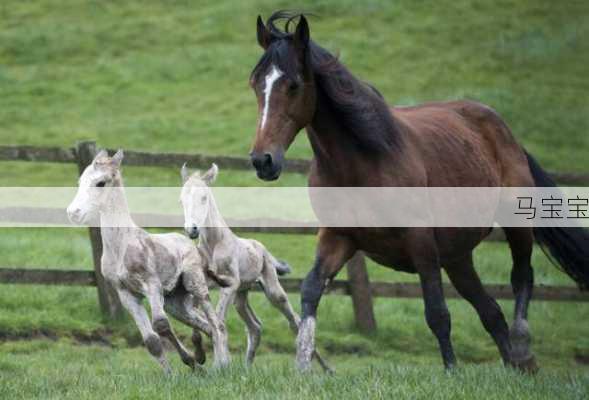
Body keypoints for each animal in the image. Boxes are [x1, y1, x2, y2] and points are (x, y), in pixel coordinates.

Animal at [66, 150, 227, 372]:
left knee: (216, 324)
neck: (121, 246)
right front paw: (179, 370)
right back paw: (206, 361)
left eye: (100, 183)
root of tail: (191, 244)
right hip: (176, 303)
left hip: (195, 284)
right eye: (80, 181)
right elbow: (152, 341)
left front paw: (189, 364)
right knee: (205, 325)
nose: (73, 213)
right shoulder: (126, 293)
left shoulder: (152, 285)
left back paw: (221, 366)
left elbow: (161, 325)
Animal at [180, 163, 330, 372]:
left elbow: (217, 319)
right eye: (181, 200)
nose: (192, 230)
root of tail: (262, 248)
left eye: (204, 197)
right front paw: (200, 357)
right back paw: (247, 367)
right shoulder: (202, 285)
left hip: (272, 291)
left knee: (295, 321)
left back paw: (325, 368)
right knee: (255, 327)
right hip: (241, 297)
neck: (213, 245)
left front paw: (218, 363)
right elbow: (199, 321)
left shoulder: (231, 284)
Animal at [248, 10, 588, 372]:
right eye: (256, 84)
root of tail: (503, 130)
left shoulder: (421, 242)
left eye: (293, 85)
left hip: (516, 223)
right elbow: (311, 290)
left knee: (521, 275)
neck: (364, 162)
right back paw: (516, 368)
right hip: (457, 256)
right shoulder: (338, 237)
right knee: (491, 311)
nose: (262, 160)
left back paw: (523, 349)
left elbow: (437, 313)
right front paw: (303, 366)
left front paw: (452, 371)